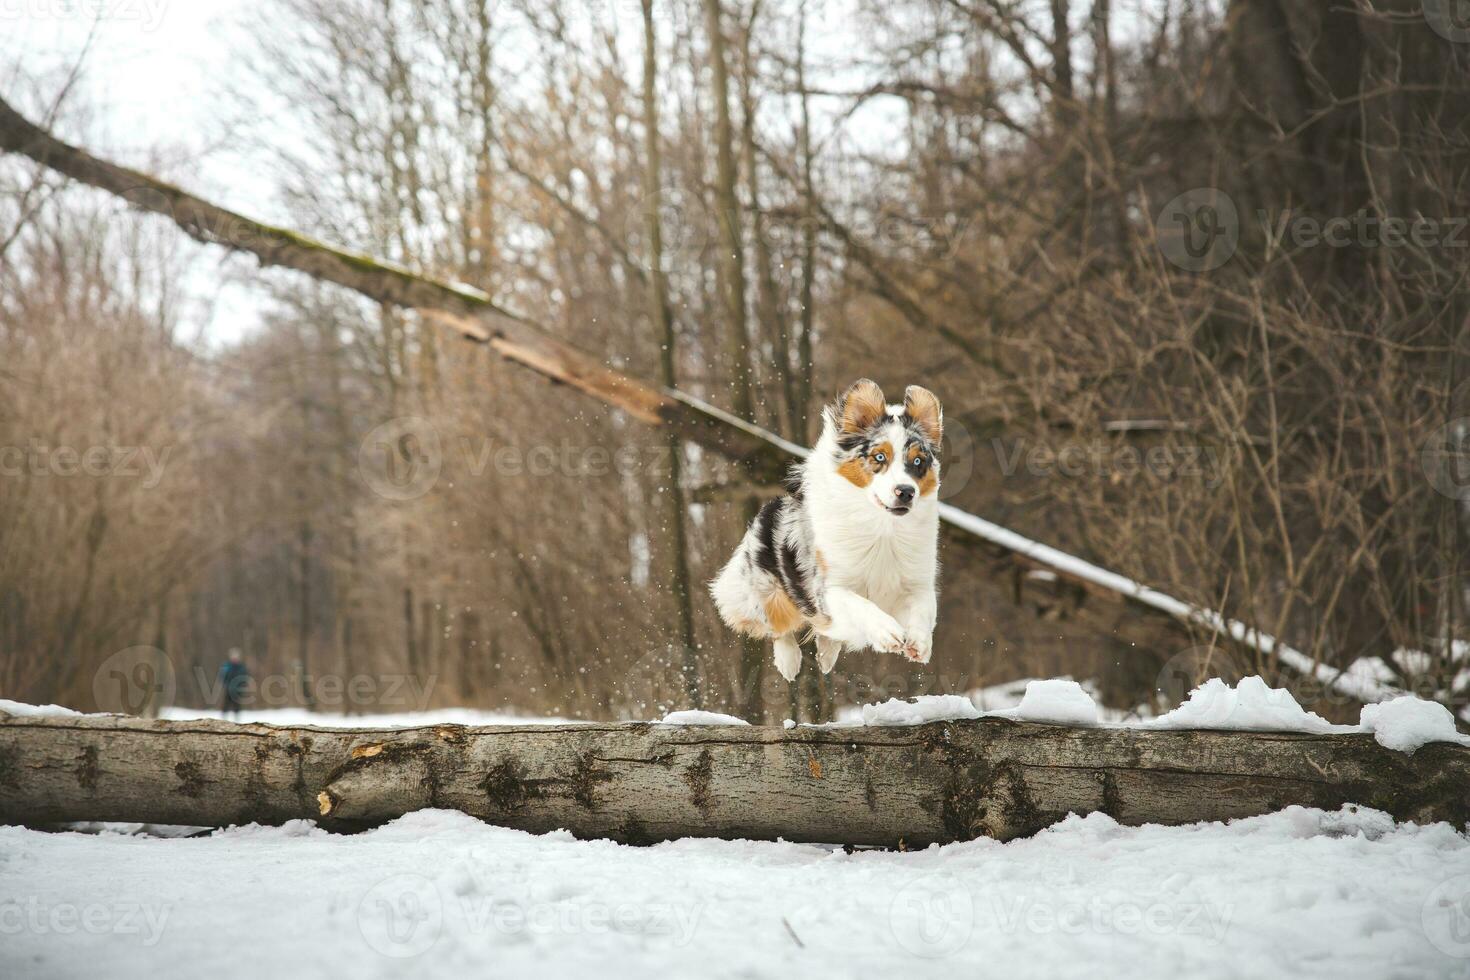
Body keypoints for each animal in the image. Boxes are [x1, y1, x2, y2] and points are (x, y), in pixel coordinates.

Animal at [708, 382, 940, 681]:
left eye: (918, 462)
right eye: (879, 457)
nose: (906, 492)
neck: (882, 527)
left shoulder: (916, 582)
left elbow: (923, 610)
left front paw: (919, 644)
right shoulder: (828, 588)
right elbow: (860, 604)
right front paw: (887, 632)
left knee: (826, 631)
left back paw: (827, 656)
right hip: (764, 592)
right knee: (778, 625)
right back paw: (789, 661)